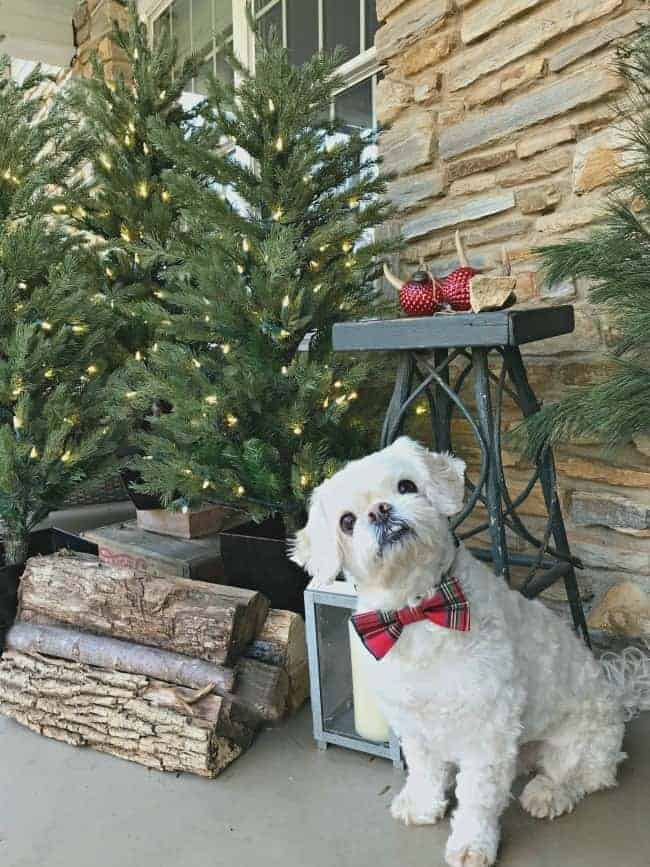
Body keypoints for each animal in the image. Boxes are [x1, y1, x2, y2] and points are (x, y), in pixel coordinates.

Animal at [292, 438, 644, 867]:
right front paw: (423, 806)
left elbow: (477, 797)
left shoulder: (487, 730)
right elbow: (424, 770)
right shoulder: (413, 722)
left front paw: (472, 844)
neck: (417, 610)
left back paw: (548, 793)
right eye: (347, 521)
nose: (380, 510)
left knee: (581, 776)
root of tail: (618, 698)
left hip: (582, 741)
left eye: (406, 486)